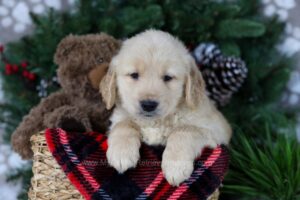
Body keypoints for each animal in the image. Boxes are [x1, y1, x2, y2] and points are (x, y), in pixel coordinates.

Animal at [99, 29, 231, 186]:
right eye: (134, 75)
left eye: (168, 77)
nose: (148, 105)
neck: (155, 122)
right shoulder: (118, 117)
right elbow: (124, 124)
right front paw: (121, 152)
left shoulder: (216, 128)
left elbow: (184, 130)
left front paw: (176, 166)